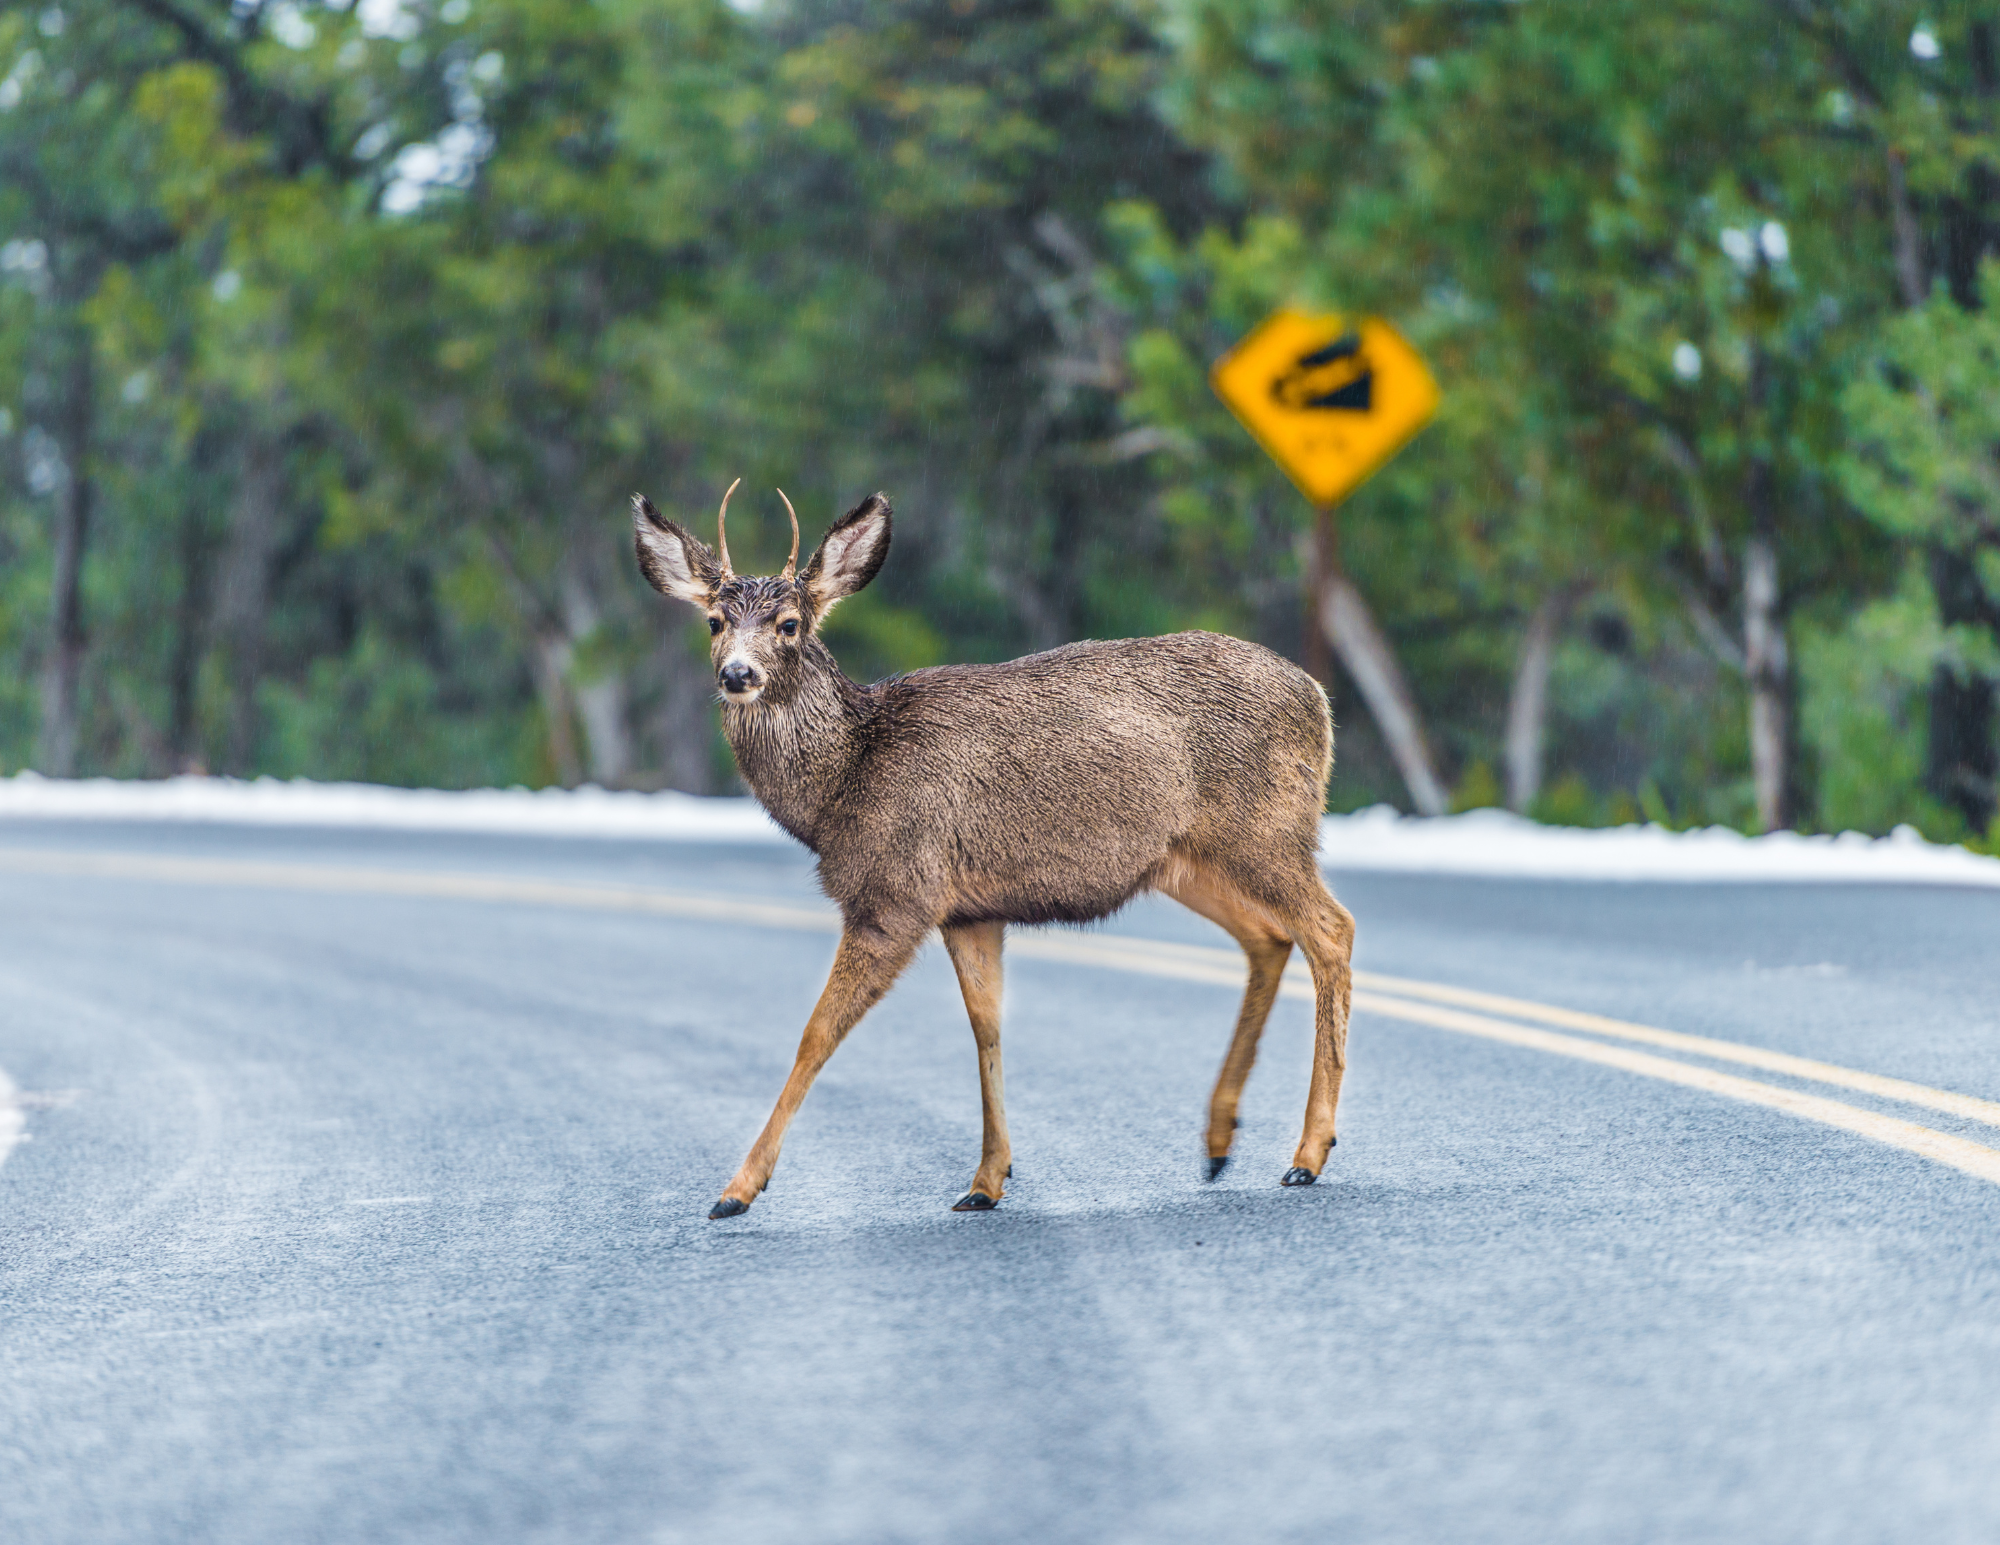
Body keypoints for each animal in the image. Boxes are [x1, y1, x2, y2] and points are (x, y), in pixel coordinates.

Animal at [636, 476, 1360, 1216]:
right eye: (714, 622)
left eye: (789, 624)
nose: (737, 674)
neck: (844, 780)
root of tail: (1318, 697)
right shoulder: (968, 910)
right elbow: (986, 1024)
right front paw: (987, 1180)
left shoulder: (896, 893)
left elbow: (816, 1032)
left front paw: (737, 1190)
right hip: (1187, 860)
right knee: (1268, 937)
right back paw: (1218, 1143)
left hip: (1268, 829)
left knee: (1331, 929)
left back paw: (1307, 1154)